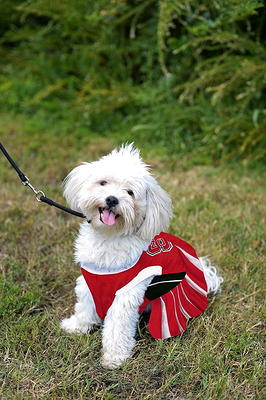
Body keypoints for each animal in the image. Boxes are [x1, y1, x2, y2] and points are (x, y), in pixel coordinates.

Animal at [60, 144, 222, 368]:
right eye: (103, 182)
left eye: (130, 192)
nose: (112, 199)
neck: (109, 237)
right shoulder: (88, 282)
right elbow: (84, 307)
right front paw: (77, 326)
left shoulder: (126, 294)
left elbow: (117, 327)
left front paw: (114, 357)